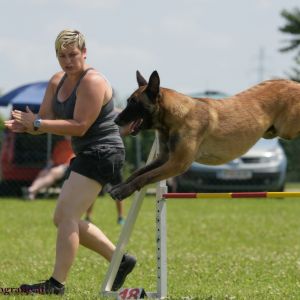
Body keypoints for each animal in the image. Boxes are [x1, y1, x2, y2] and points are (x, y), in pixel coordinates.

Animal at [109, 71, 300, 200]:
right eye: (128, 101)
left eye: (134, 102)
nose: (116, 120)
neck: (174, 117)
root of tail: (295, 84)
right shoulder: (164, 158)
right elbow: (138, 173)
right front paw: (119, 186)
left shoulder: (177, 163)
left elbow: (145, 176)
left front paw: (123, 191)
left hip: (287, 129)